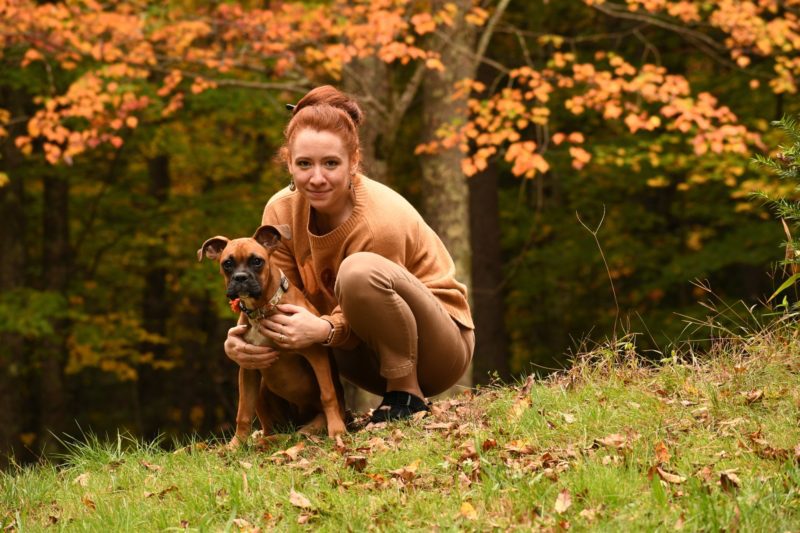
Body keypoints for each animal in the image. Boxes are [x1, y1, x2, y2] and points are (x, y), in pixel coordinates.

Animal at [198, 222, 346, 442]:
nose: (240, 278)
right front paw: (236, 444)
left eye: (257, 261)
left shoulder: (316, 355)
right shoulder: (248, 368)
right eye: (227, 264)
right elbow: (243, 411)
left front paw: (336, 430)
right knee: (269, 427)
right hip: (261, 390)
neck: (262, 309)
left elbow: (327, 394)